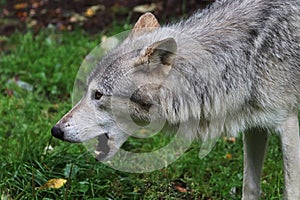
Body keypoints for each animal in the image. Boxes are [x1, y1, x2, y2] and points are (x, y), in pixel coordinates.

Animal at [51, 0, 300, 198]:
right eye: (87, 91)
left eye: (98, 95)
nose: (56, 130)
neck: (246, 59)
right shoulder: (255, 126)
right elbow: (250, 186)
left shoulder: (288, 125)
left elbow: (291, 192)